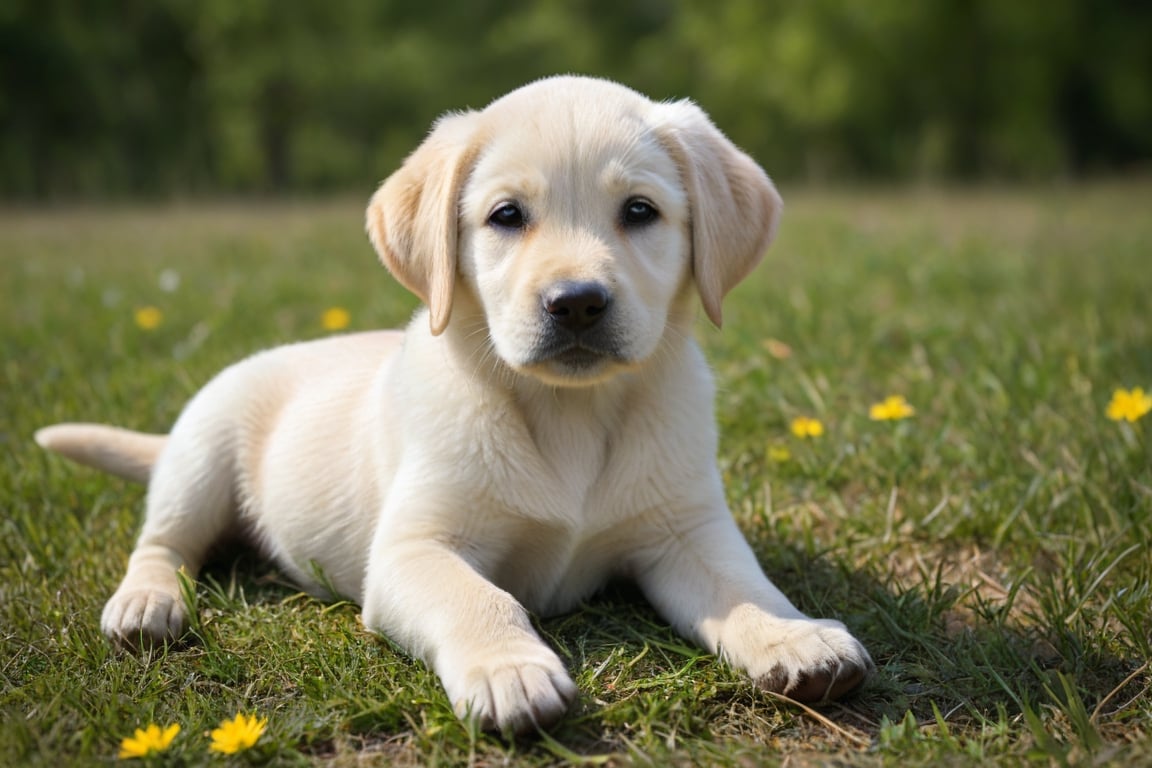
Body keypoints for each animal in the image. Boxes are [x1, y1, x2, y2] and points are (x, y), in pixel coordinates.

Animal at [36, 74, 870, 736]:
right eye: (506, 216)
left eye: (640, 212)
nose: (576, 303)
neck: (568, 414)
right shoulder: (415, 550)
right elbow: (481, 599)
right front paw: (510, 672)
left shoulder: (686, 530)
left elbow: (744, 588)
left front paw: (794, 637)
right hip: (200, 456)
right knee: (162, 543)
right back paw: (147, 606)